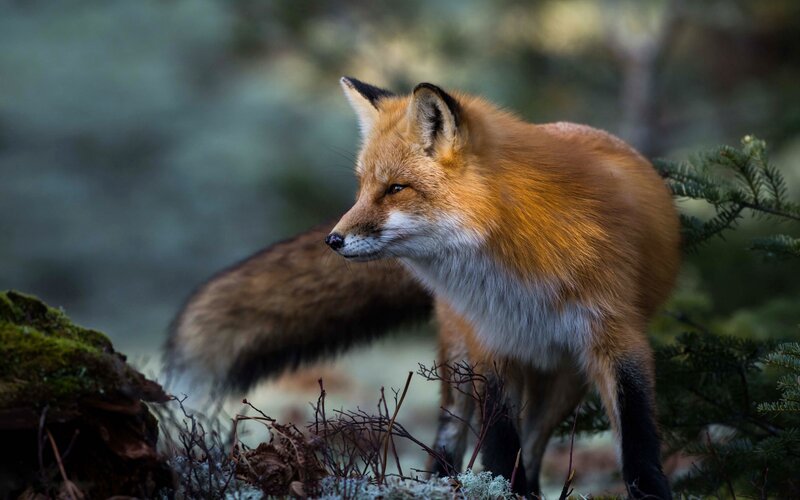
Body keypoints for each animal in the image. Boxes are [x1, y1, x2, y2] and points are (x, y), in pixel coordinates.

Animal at [168, 77, 680, 498]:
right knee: (452, 435)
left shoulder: (617, 337)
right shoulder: (491, 345)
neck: (520, 270)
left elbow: (636, 437)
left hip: (565, 376)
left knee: (535, 445)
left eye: (395, 188)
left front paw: (649, 491)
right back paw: (442, 482)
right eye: (361, 187)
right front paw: (503, 491)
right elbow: (500, 445)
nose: (333, 240)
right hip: (460, 359)